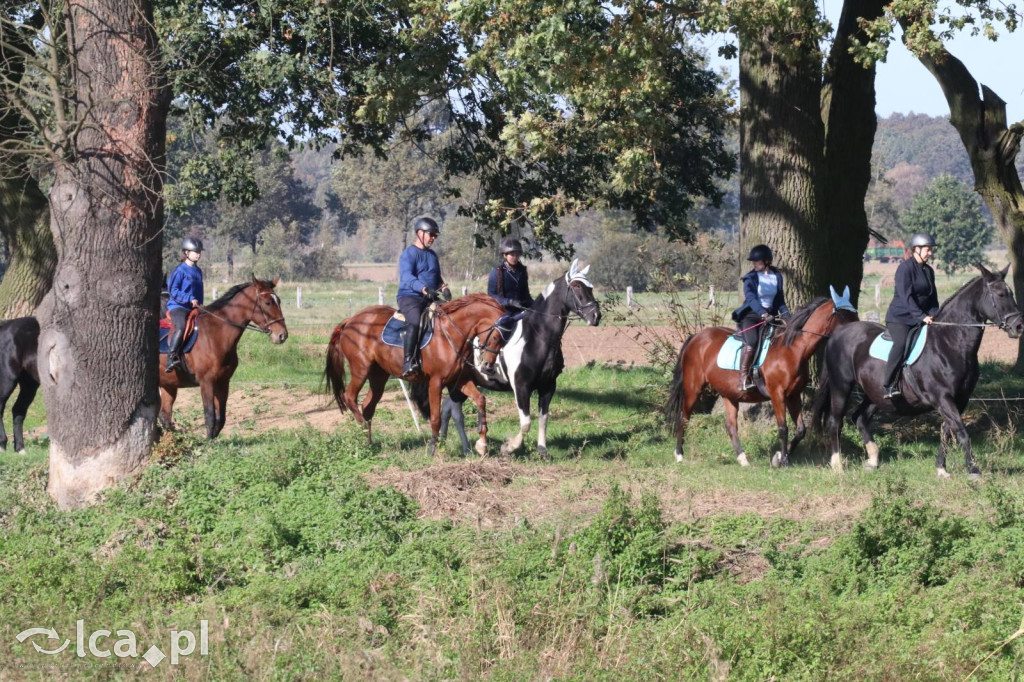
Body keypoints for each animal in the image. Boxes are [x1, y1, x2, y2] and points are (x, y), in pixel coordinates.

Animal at [158, 274, 288, 438]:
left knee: (165, 416)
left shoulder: (223, 381)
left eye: (279, 301)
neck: (216, 334)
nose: (282, 335)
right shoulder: (206, 382)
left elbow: (221, 419)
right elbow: (210, 417)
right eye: (268, 303)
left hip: (168, 384)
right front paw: (207, 442)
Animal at [321, 292, 505, 450]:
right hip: (360, 370)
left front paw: (482, 443)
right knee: (350, 397)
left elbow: (480, 399)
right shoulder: (436, 382)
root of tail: (351, 320)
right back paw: (361, 430)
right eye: (496, 337)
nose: (488, 366)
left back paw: (368, 443)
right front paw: (434, 450)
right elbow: (435, 418)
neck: (450, 334)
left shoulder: (459, 380)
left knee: (367, 407)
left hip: (378, 376)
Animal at [413, 259, 602, 456]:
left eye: (591, 287)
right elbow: (526, 423)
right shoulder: (521, 385)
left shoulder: (548, 385)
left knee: (448, 408)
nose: (596, 316)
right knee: (454, 411)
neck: (538, 336)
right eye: (577, 287)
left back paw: (456, 444)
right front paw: (509, 447)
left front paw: (542, 450)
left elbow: (543, 418)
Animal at [667, 284, 860, 464]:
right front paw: (783, 460)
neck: (792, 350)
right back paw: (679, 455)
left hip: (729, 393)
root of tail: (696, 337)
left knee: (731, 426)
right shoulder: (777, 394)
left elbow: (800, 430)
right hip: (694, 388)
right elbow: (783, 428)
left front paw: (781, 455)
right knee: (684, 417)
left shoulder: (793, 395)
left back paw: (743, 459)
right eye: (844, 315)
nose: (857, 334)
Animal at [815, 262, 1024, 475]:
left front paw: (941, 469)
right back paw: (838, 466)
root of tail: (838, 333)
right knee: (835, 421)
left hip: (876, 394)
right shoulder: (942, 398)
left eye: (1010, 294)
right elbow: (961, 432)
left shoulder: (959, 399)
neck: (949, 342)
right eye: (1000, 294)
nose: (1018, 327)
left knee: (860, 417)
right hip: (841, 386)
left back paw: (873, 460)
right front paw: (974, 470)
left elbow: (947, 432)